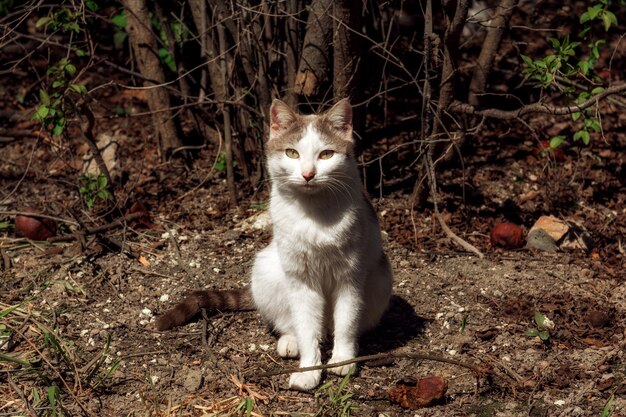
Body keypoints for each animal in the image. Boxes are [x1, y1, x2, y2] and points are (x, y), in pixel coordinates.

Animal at [155, 99, 390, 392]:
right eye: (292, 153)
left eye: (326, 154)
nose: (308, 174)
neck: (313, 214)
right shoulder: (300, 280)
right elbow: (306, 327)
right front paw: (309, 370)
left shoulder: (350, 277)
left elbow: (346, 322)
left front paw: (342, 360)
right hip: (267, 269)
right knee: (295, 323)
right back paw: (291, 341)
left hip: (380, 279)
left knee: (342, 325)